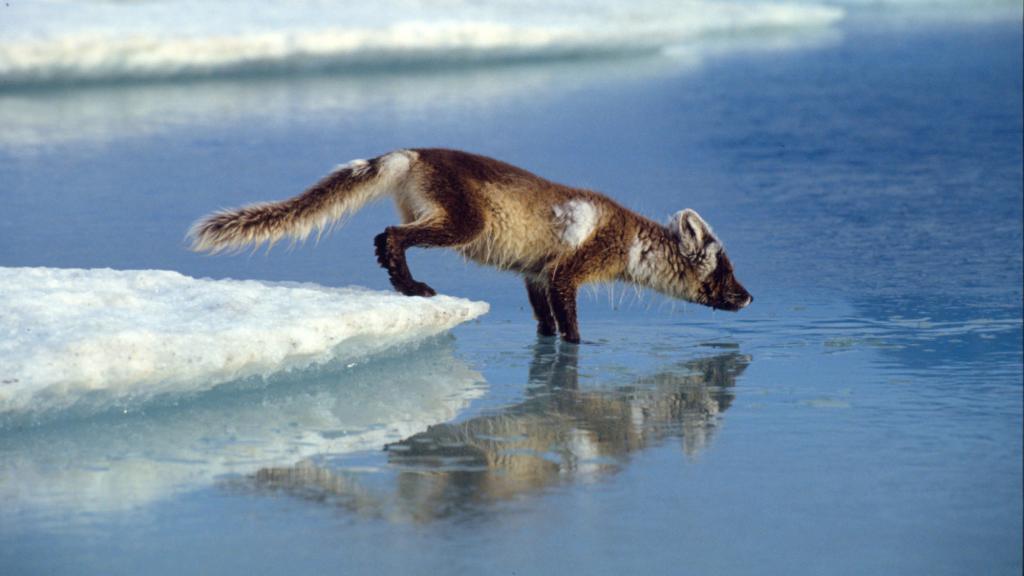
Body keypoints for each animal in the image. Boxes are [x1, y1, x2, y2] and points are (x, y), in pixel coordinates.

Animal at [188, 148, 752, 342]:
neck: (632, 241)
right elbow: (570, 324)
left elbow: (545, 323)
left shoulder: (535, 274)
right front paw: (581, 347)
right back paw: (411, 286)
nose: (749, 296)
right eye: (724, 271)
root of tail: (411, 153)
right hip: (463, 223)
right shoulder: (570, 269)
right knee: (389, 236)